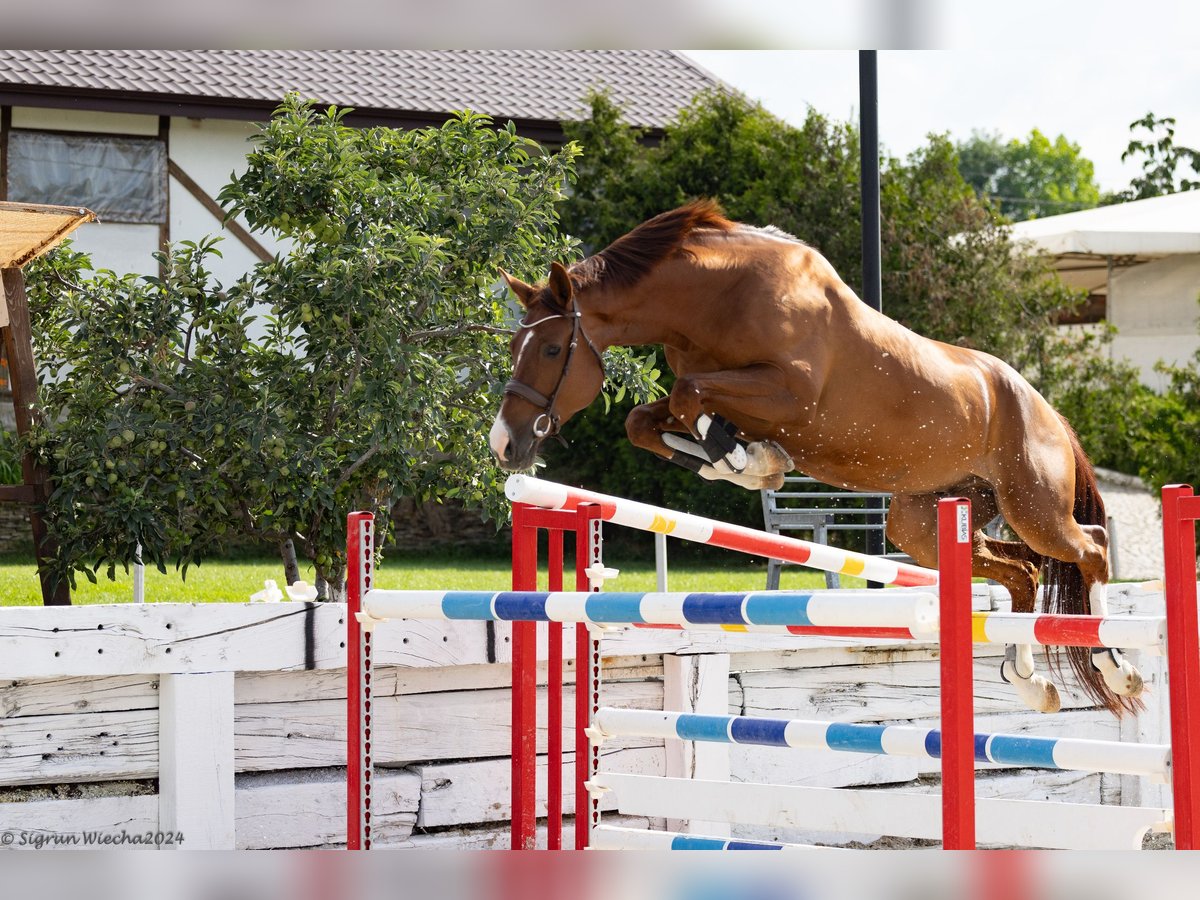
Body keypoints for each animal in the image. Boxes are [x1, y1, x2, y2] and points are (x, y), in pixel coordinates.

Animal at [487, 199, 1142, 720]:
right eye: (516, 344)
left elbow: (689, 395)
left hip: (1032, 506)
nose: (504, 444)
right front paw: (742, 458)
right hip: (925, 522)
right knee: (1022, 572)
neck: (716, 298)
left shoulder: (788, 394)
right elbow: (649, 419)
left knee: (1089, 549)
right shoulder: (720, 393)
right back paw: (1030, 683)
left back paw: (1115, 666)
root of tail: (1046, 408)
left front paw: (747, 459)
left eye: (551, 348)